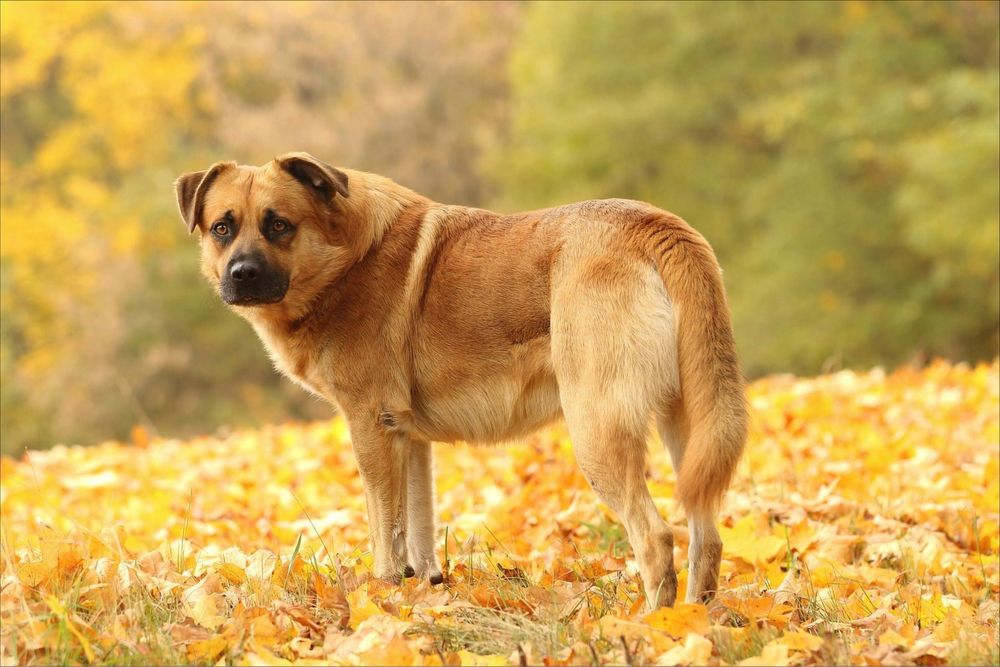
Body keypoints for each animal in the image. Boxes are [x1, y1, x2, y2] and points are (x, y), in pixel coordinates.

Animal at [174, 154, 752, 608]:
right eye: (222, 227)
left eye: (279, 225)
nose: (242, 275)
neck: (346, 256)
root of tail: (652, 223)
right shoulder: (408, 438)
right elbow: (418, 530)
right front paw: (424, 595)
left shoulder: (371, 427)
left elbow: (385, 532)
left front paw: (382, 600)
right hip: (689, 426)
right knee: (706, 537)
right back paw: (693, 621)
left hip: (597, 430)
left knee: (655, 538)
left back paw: (649, 626)